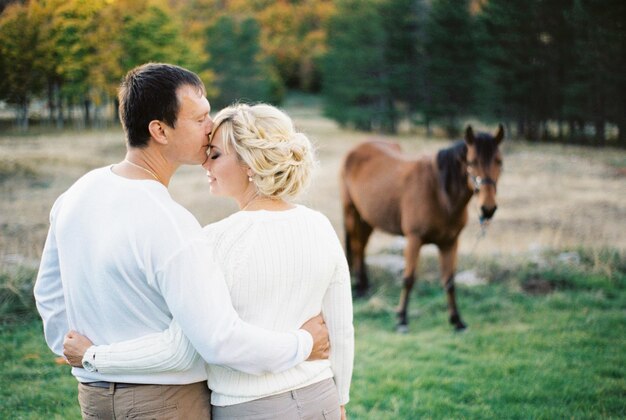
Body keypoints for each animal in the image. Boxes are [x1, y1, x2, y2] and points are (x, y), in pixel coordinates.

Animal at [338, 124, 500, 332]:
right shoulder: (414, 239)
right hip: (351, 212)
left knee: (362, 246)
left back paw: (364, 288)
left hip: (368, 218)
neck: (439, 194)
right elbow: (408, 279)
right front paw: (401, 319)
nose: (487, 209)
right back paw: (359, 289)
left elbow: (449, 281)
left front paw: (457, 321)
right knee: (357, 246)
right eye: (471, 162)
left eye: (499, 161)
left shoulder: (450, 243)